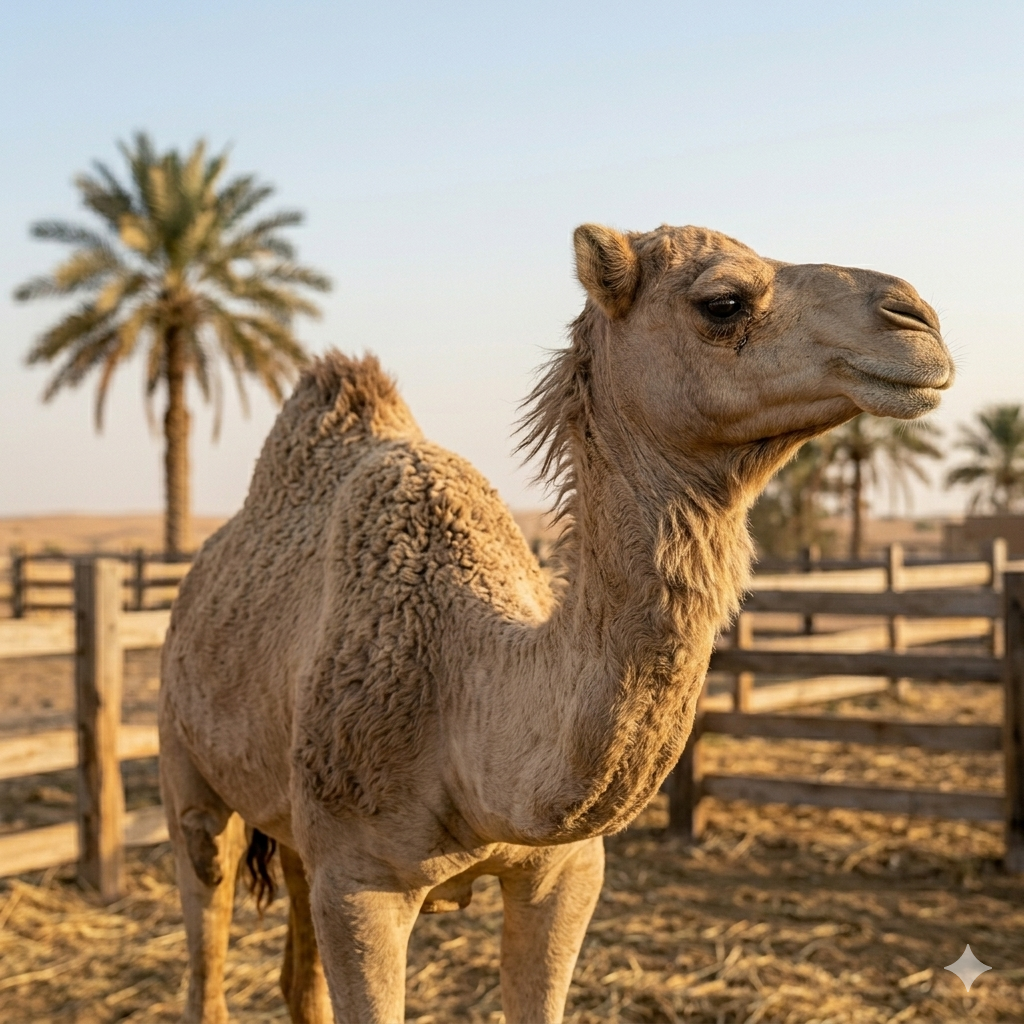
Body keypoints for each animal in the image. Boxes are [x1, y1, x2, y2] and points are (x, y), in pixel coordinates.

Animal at [158, 223, 953, 1023]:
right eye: (723, 301)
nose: (918, 319)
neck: (463, 696)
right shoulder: (357, 884)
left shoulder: (567, 872)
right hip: (188, 772)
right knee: (205, 932)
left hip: (289, 827)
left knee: (298, 977)